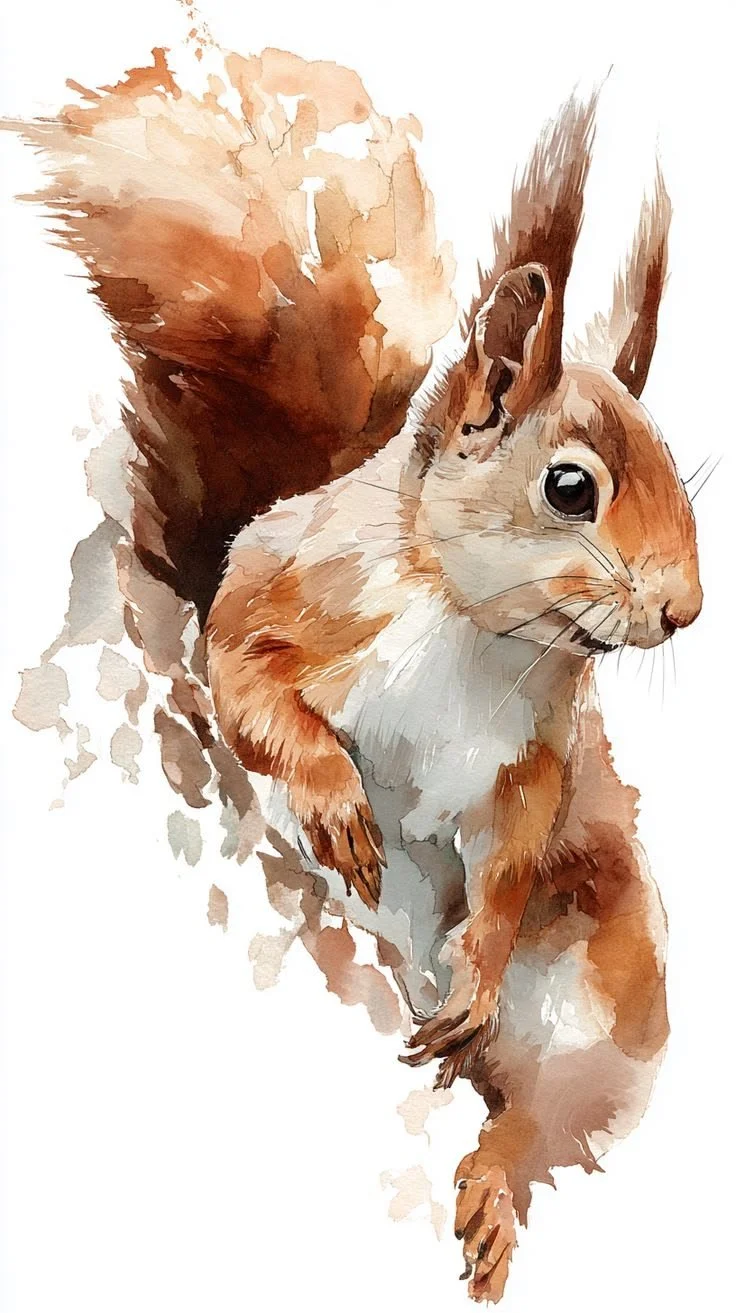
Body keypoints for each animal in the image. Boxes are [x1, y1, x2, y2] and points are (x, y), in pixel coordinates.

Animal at [11, 45, 702, 1304]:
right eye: (570, 486)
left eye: (678, 464)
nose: (684, 609)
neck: (480, 630)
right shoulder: (276, 597)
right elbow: (247, 687)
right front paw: (334, 801)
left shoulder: (537, 751)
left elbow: (512, 849)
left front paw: (479, 956)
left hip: (599, 990)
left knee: (534, 1116)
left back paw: (488, 1176)